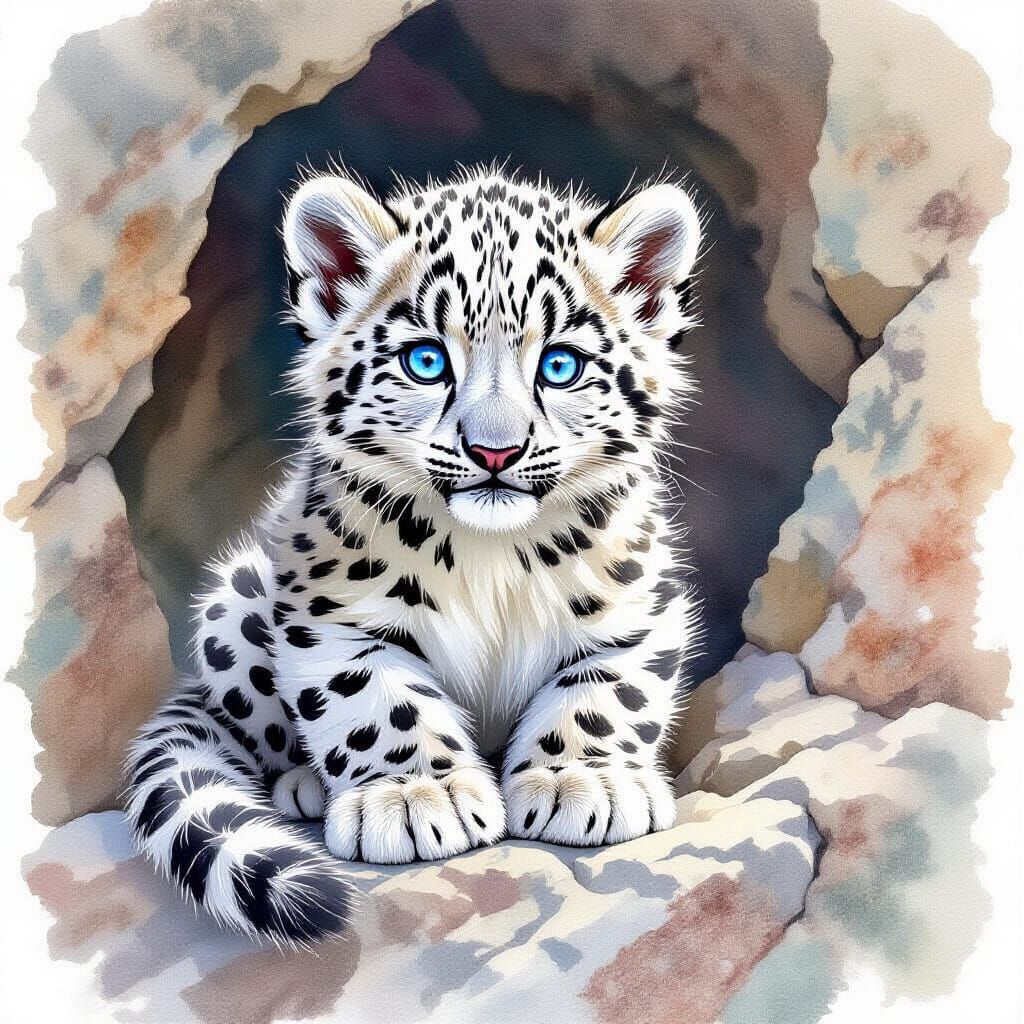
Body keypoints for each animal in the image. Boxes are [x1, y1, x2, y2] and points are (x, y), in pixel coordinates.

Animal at [124, 165, 702, 945]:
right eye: (426, 360)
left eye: (560, 364)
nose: (495, 451)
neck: (494, 557)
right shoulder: (334, 613)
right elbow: (377, 701)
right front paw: (417, 796)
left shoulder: (634, 603)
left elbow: (606, 692)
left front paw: (584, 781)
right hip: (235, 606)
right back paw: (304, 786)